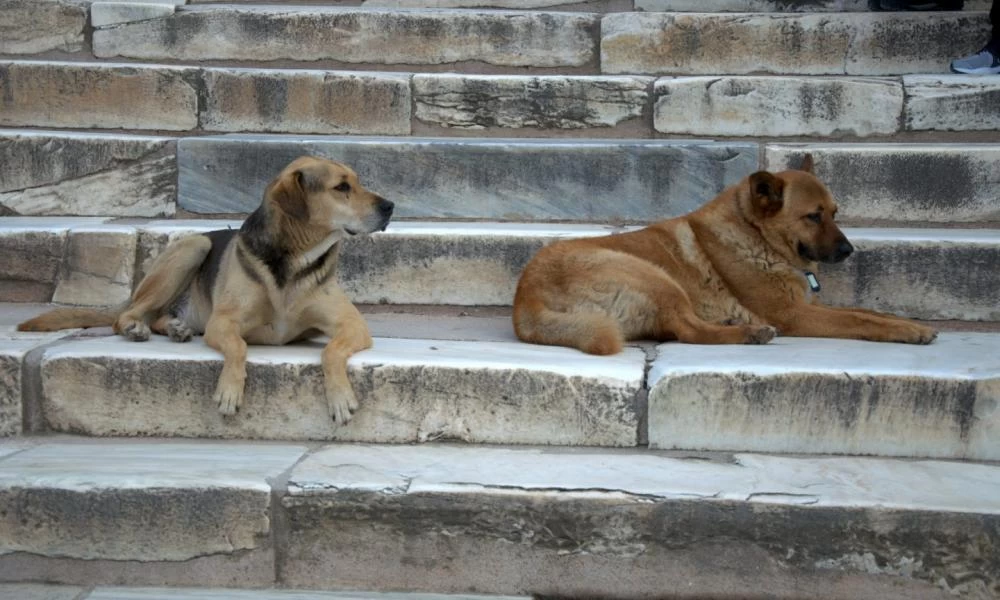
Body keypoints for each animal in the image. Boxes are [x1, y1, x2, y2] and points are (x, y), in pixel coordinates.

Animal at [20, 157, 394, 424]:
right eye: (342, 187)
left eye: (356, 181)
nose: (390, 206)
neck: (293, 260)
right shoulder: (223, 323)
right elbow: (238, 347)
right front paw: (229, 390)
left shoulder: (352, 325)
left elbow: (330, 351)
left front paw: (340, 396)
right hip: (193, 247)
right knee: (127, 315)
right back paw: (136, 327)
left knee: (159, 317)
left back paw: (176, 327)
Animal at [516, 156, 936, 356]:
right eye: (813, 216)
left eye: (835, 212)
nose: (849, 251)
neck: (756, 235)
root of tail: (525, 301)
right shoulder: (793, 314)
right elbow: (860, 320)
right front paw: (909, 331)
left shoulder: (804, 306)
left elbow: (869, 311)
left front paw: (909, 323)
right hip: (651, 275)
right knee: (689, 331)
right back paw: (749, 333)